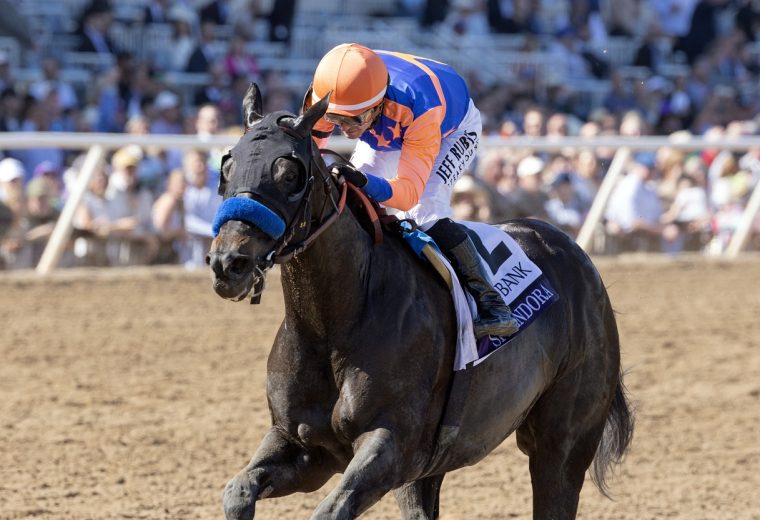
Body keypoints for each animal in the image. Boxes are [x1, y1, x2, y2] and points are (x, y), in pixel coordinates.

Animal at [206, 83, 634, 520]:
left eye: (289, 173)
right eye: (227, 166)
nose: (229, 262)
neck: (334, 323)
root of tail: (574, 252)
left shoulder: (392, 446)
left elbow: (330, 510)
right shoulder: (305, 447)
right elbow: (237, 491)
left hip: (561, 445)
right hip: (430, 471)